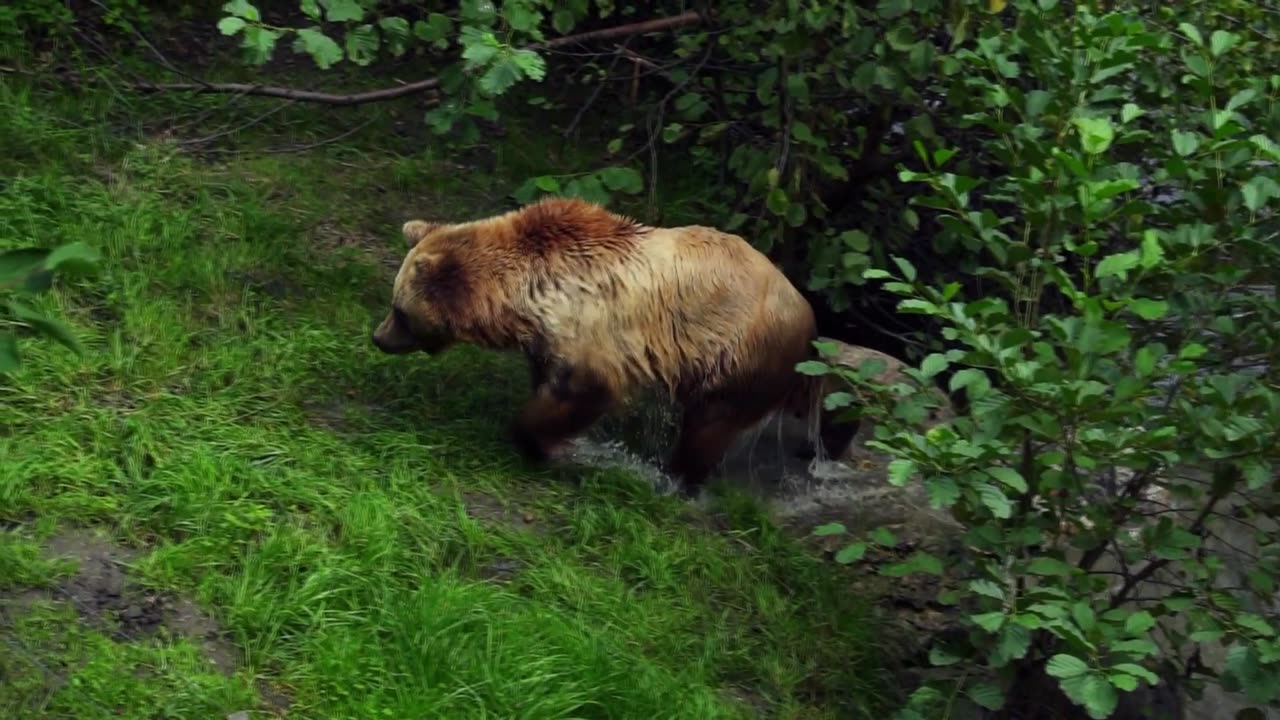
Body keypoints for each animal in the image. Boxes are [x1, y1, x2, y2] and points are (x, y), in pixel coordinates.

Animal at [371, 196, 829, 499]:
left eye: (399, 309)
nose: (378, 337)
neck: (526, 296)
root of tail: (808, 312)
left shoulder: (594, 332)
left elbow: (582, 391)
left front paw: (537, 441)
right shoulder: (547, 340)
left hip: (740, 353)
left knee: (711, 423)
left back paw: (676, 478)